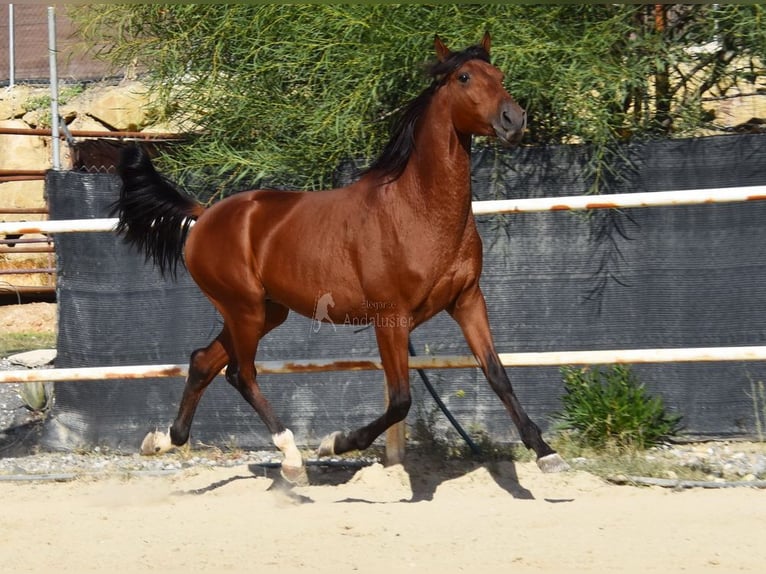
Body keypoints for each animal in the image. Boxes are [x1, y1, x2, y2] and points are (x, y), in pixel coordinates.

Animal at [114, 35, 568, 486]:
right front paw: (335, 443)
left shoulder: (468, 300)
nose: (514, 119)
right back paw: (292, 460)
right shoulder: (391, 318)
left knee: (203, 362)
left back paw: (163, 440)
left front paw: (546, 453)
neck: (417, 208)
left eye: (500, 75)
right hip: (243, 309)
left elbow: (498, 375)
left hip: (264, 312)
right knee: (241, 374)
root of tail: (205, 214)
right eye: (464, 77)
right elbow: (400, 399)